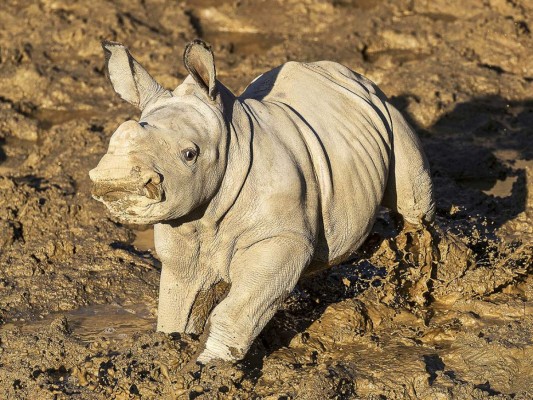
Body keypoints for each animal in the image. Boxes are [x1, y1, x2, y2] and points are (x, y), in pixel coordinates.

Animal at [89, 39, 434, 362]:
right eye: (114, 139)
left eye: (189, 154)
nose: (114, 180)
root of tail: (353, 76)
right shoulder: (183, 230)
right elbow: (179, 306)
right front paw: (172, 350)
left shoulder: (283, 239)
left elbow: (238, 310)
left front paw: (212, 369)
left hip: (388, 110)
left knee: (414, 205)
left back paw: (419, 279)